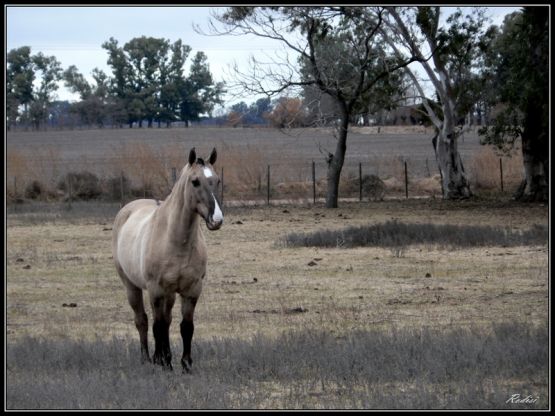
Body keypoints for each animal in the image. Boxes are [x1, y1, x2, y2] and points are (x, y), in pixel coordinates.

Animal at [113, 148, 224, 372]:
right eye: (195, 181)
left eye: (217, 180)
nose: (216, 220)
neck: (175, 241)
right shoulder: (156, 289)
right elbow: (158, 325)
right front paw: (162, 362)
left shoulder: (192, 290)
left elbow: (186, 327)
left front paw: (185, 364)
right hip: (132, 286)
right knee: (143, 321)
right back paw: (147, 358)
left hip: (170, 294)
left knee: (167, 319)